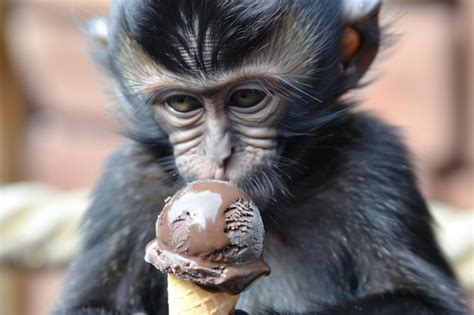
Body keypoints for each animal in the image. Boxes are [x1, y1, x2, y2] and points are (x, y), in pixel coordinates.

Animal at [52, 0, 466, 315]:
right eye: (182, 103)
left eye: (247, 98)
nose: (219, 153)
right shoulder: (126, 180)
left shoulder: (377, 162)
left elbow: (422, 302)